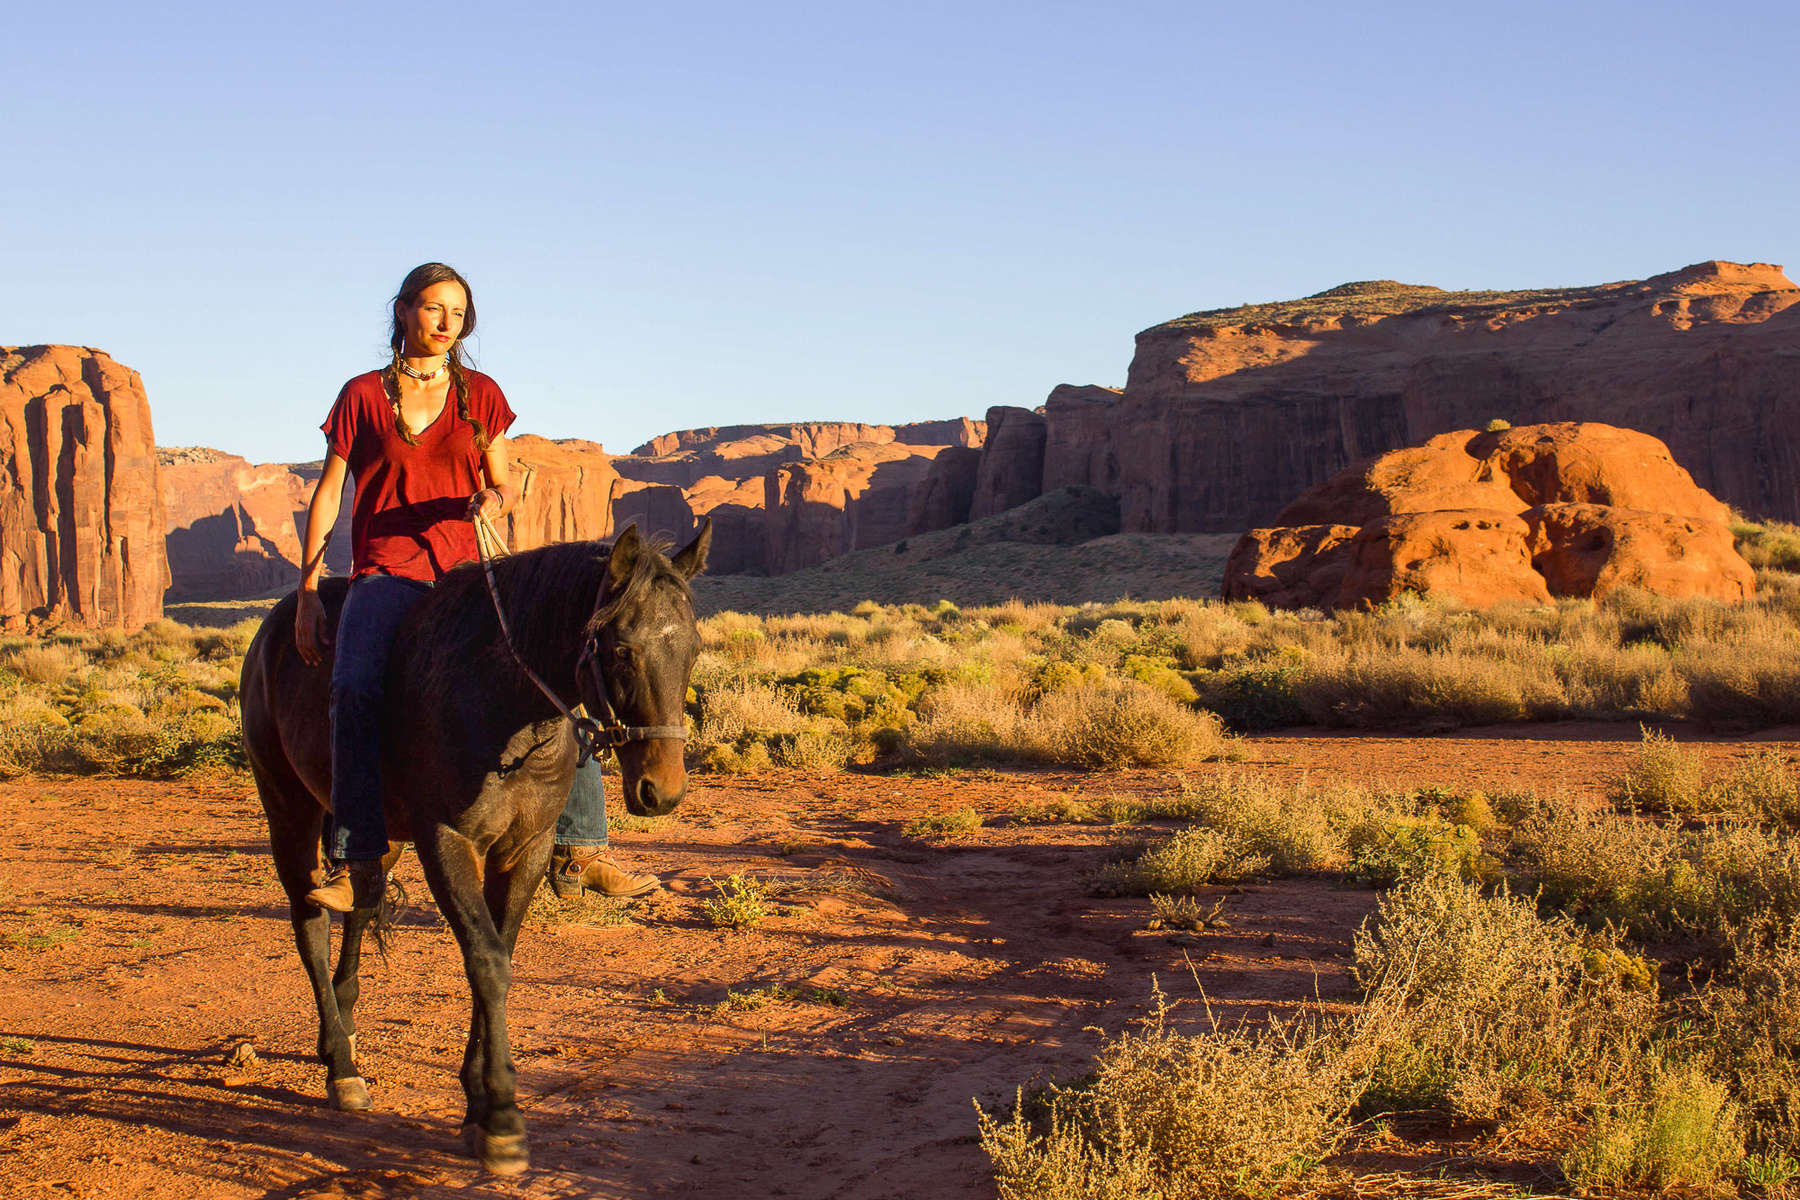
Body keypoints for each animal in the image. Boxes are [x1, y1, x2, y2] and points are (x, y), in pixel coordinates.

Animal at [243, 521, 705, 1173]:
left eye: (693, 650)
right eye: (620, 650)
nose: (661, 791)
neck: (503, 705)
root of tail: (278, 624)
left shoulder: (525, 849)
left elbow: (500, 955)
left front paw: (477, 1102)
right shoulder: (447, 843)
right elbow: (486, 962)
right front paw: (503, 1117)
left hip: (377, 829)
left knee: (359, 899)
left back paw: (346, 1022)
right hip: (288, 808)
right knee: (308, 920)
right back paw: (340, 1065)